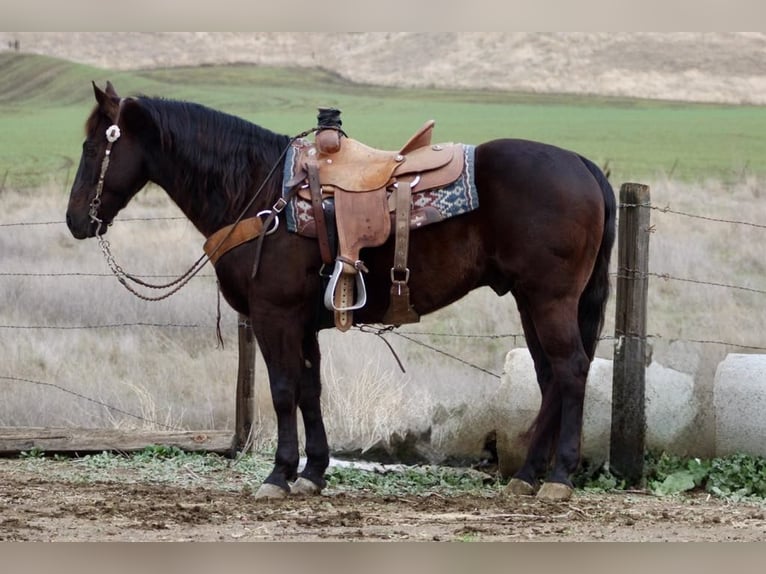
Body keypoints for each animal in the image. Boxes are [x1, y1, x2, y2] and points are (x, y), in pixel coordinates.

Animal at [66, 82, 616, 504]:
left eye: (94, 148)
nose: (75, 220)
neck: (264, 194)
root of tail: (584, 165)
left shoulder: (273, 315)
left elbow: (283, 390)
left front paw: (278, 475)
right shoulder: (303, 322)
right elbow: (310, 390)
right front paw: (312, 473)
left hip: (549, 299)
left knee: (571, 370)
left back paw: (559, 478)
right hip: (530, 299)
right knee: (549, 377)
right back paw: (526, 476)